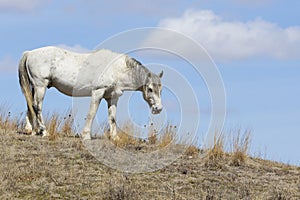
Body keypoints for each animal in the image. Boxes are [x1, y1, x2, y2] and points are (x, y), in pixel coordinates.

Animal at [18, 46, 164, 141]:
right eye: (150, 89)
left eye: (160, 89)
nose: (158, 109)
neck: (116, 69)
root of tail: (29, 53)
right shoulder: (98, 92)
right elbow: (91, 114)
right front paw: (86, 135)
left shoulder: (112, 97)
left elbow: (112, 118)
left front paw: (115, 138)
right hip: (40, 86)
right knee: (37, 107)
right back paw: (44, 131)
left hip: (34, 87)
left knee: (30, 105)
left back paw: (32, 130)